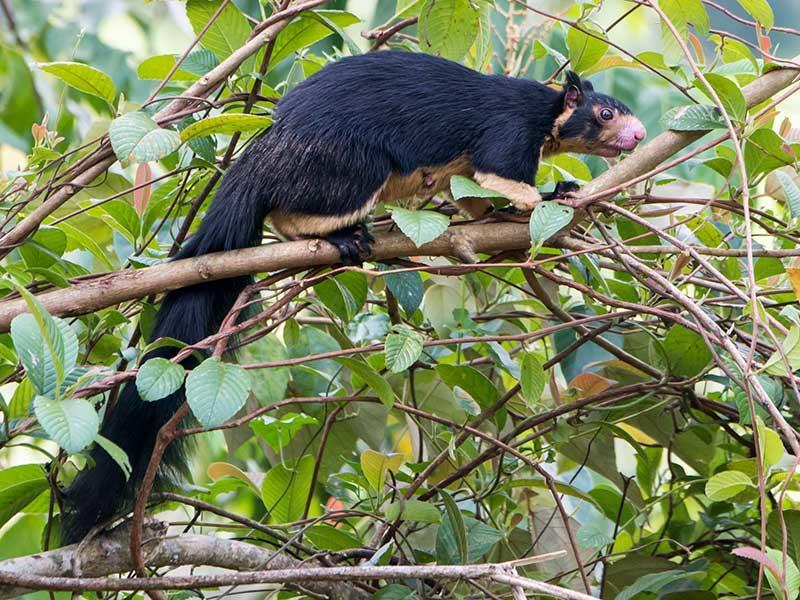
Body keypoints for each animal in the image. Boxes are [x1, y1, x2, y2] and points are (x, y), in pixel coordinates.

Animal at [62, 49, 648, 540]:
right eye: (604, 114)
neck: (547, 115)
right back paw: (344, 234)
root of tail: (260, 158)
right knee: (292, 213)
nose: (640, 136)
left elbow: (479, 204)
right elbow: (506, 183)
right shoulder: (506, 136)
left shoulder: (475, 170)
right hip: (355, 166)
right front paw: (555, 195)